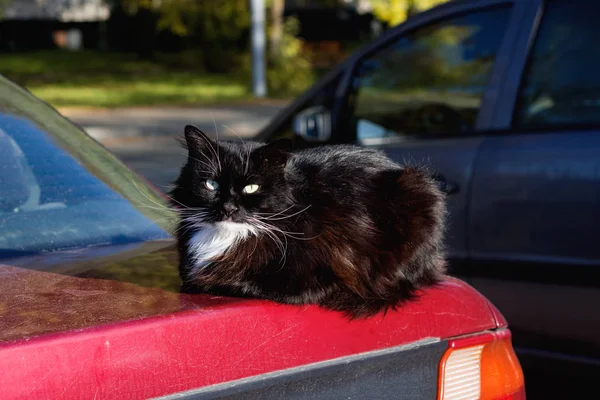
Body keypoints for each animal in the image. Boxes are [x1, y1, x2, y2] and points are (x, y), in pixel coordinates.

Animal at [169, 125, 446, 318]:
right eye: (211, 184)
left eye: (251, 188)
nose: (228, 208)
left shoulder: (311, 280)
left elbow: (222, 282)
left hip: (420, 190)